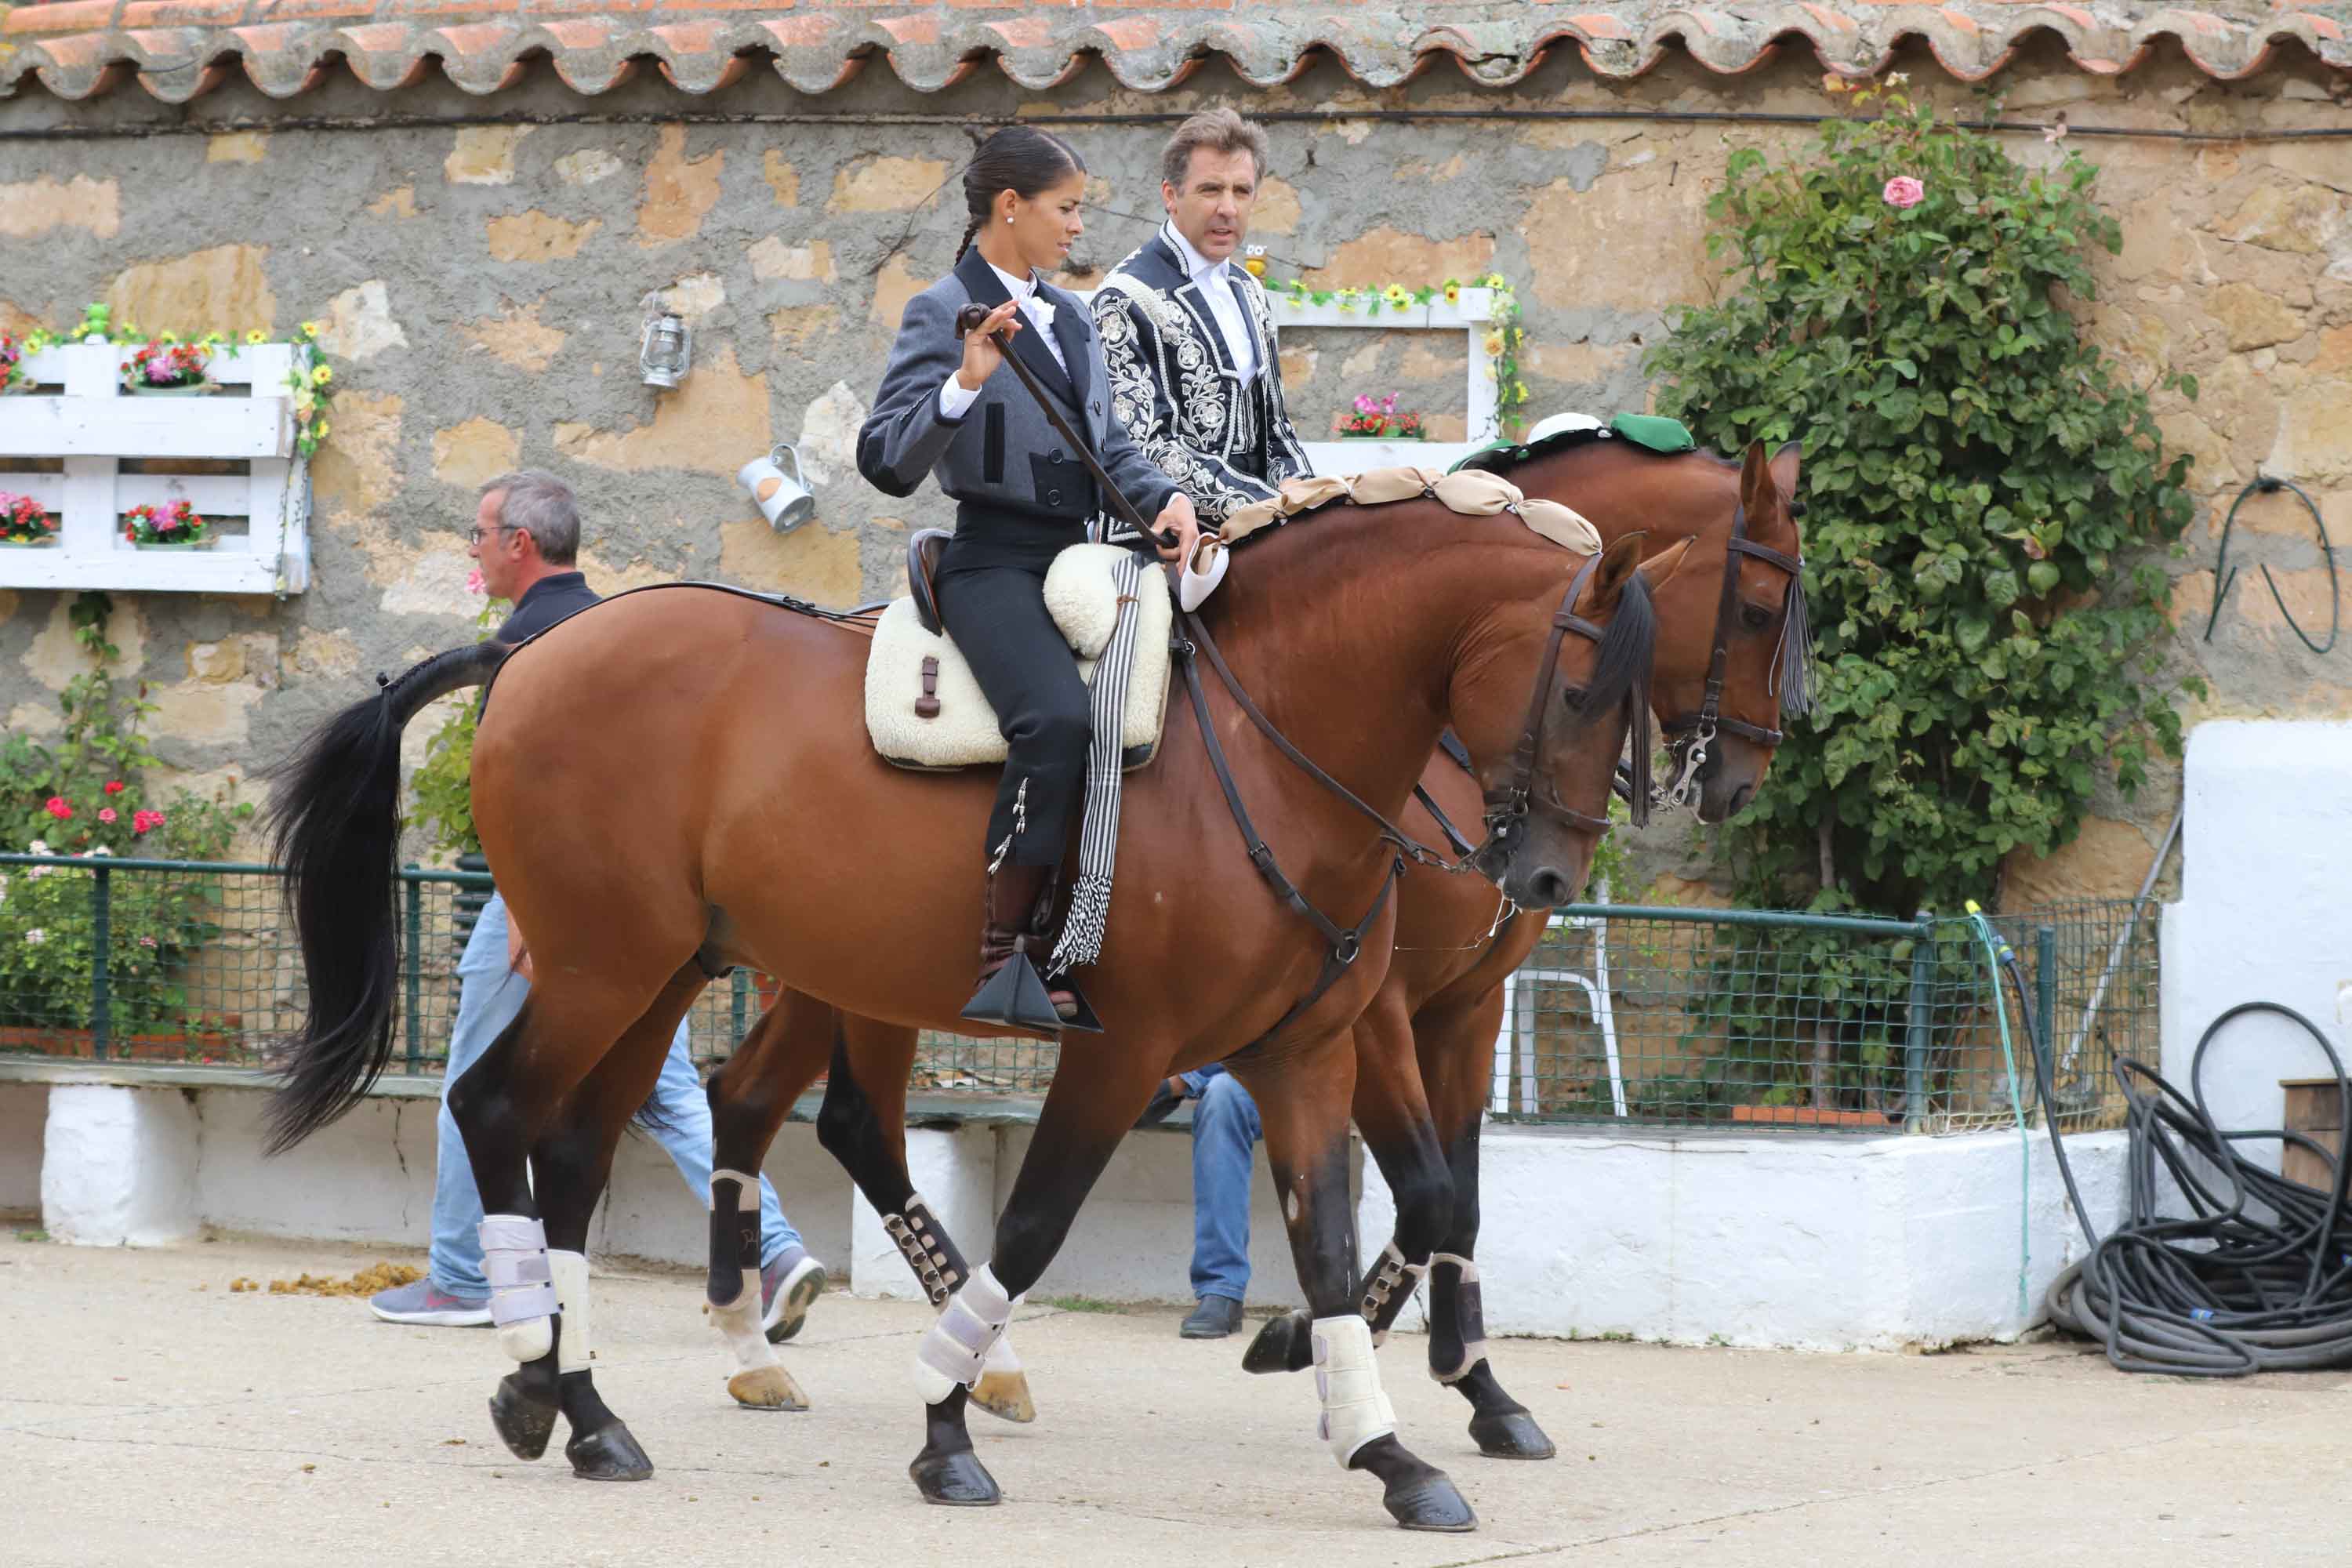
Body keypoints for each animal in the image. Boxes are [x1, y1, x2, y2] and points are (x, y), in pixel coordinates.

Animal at [262, 512, 1675, 1533]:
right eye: (1580, 691)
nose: (1549, 877)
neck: (1275, 746)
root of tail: (537, 653)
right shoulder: (1130, 1053)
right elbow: (1036, 1229)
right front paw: (946, 1424)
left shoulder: (1305, 1054)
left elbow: (1335, 1245)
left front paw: (1386, 1450)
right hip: (609, 964)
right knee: (502, 1107)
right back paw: (538, 1369)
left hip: (661, 972)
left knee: (580, 1146)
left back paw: (585, 1407)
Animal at [696, 434, 1797, 1457]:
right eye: (1756, 612)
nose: (1741, 779)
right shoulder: (1381, 1011)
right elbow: (1427, 1190)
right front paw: (1317, 1342)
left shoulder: (1463, 1007)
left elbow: (1459, 1198)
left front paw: (1471, 1383)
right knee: (837, 1119)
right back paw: (916, 1354)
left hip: (846, 968)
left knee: (774, 1104)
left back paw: (789, 1349)